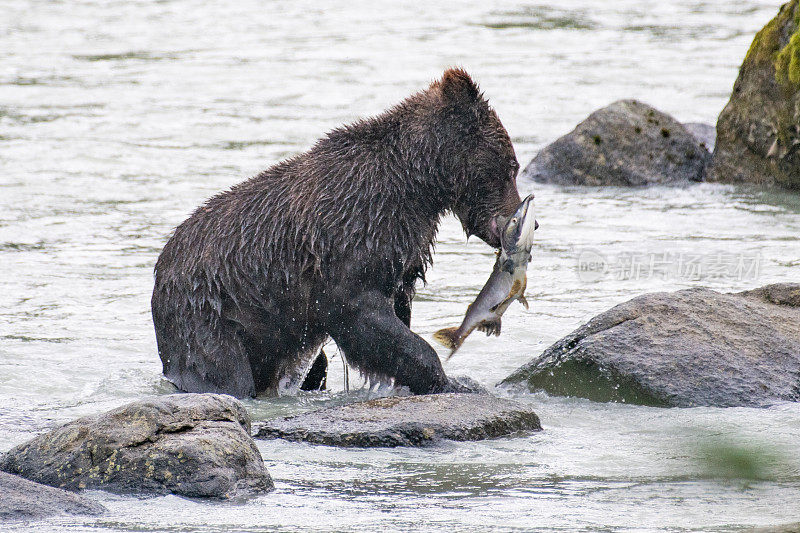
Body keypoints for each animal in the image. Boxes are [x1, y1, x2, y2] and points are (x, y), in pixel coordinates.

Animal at [152, 68, 520, 396]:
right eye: (512, 166)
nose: (522, 216)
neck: (416, 187)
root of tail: (162, 265)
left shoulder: (404, 244)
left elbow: (398, 309)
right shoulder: (353, 233)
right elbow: (362, 312)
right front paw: (449, 381)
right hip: (208, 310)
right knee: (223, 369)